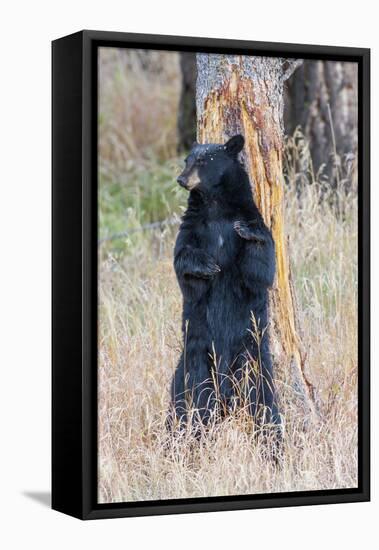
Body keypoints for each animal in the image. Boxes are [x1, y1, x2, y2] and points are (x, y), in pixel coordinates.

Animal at [171, 136, 280, 434]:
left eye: (203, 160)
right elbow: (183, 265)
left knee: (263, 399)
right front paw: (208, 265)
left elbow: (260, 269)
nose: (181, 179)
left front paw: (248, 232)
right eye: (186, 159)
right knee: (188, 397)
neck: (216, 206)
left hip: (253, 355)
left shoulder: (251, 218)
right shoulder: (192, 228)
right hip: (195, 356)